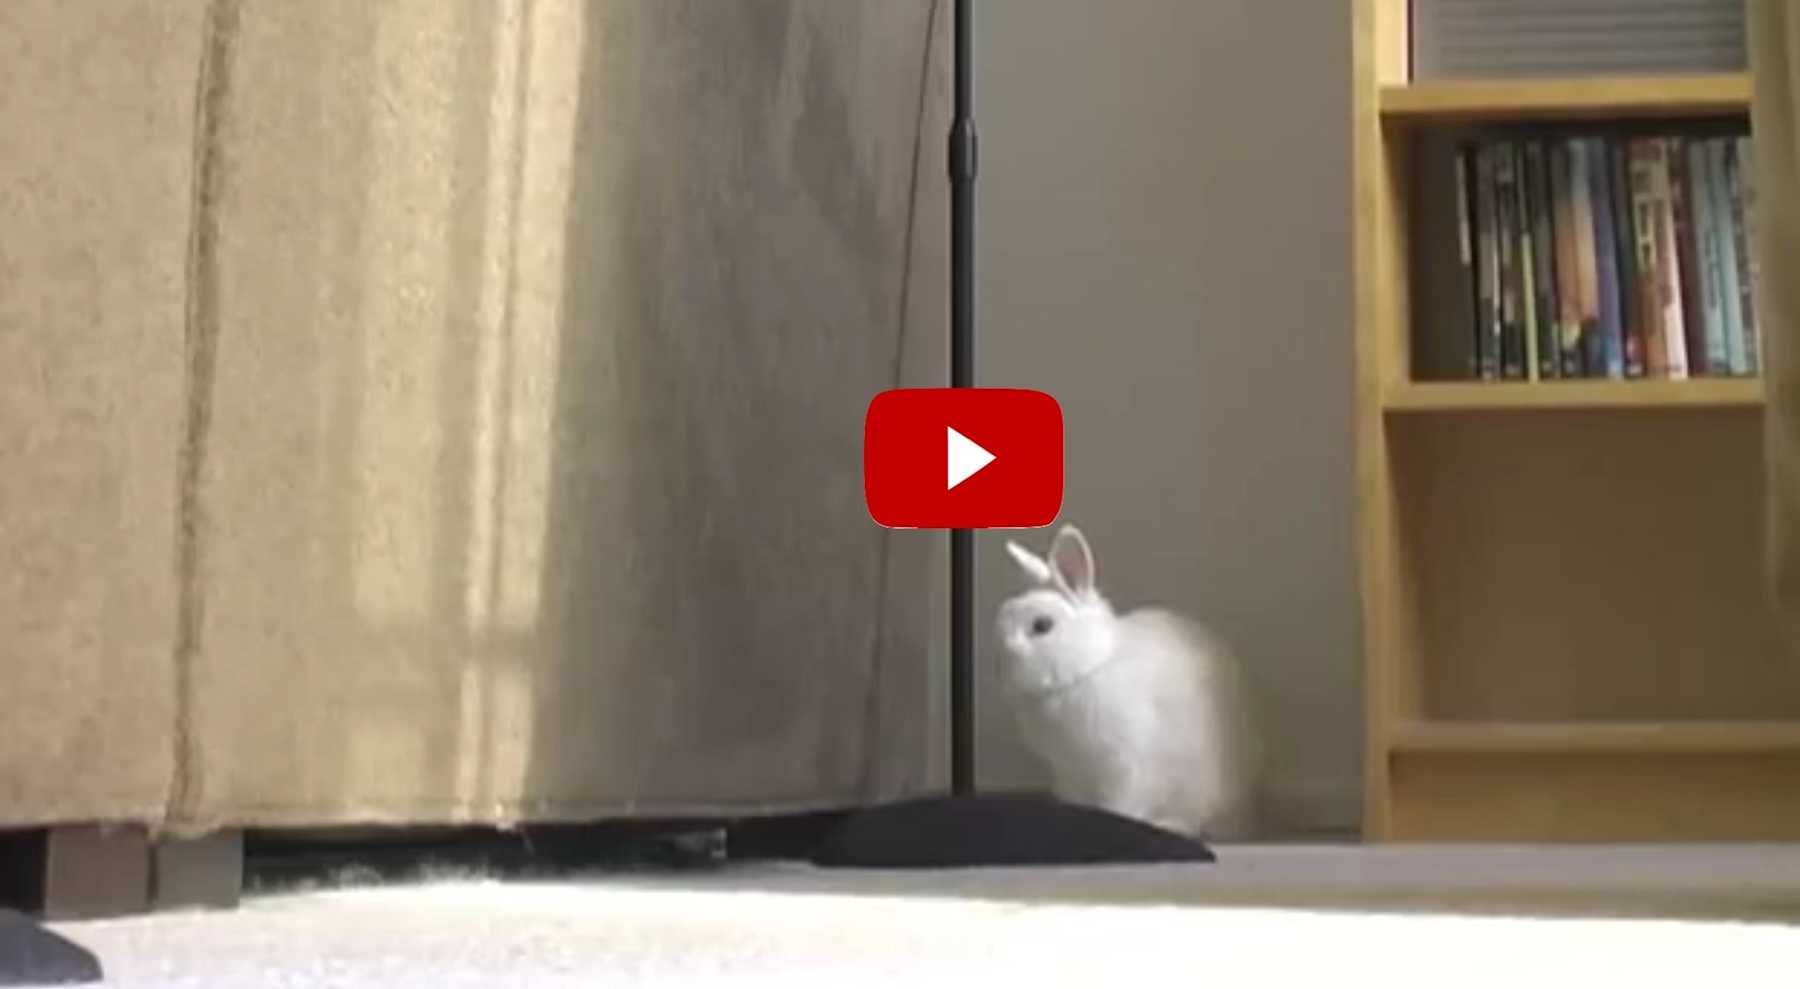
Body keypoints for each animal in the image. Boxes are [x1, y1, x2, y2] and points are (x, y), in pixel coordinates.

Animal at [993, 523, 1265, 841]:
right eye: (1002, 615)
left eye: (1042, 626)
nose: (1000, 669)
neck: (1088, 668)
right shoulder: (1069, 774)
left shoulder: (1126, 769)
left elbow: (1120, 805)